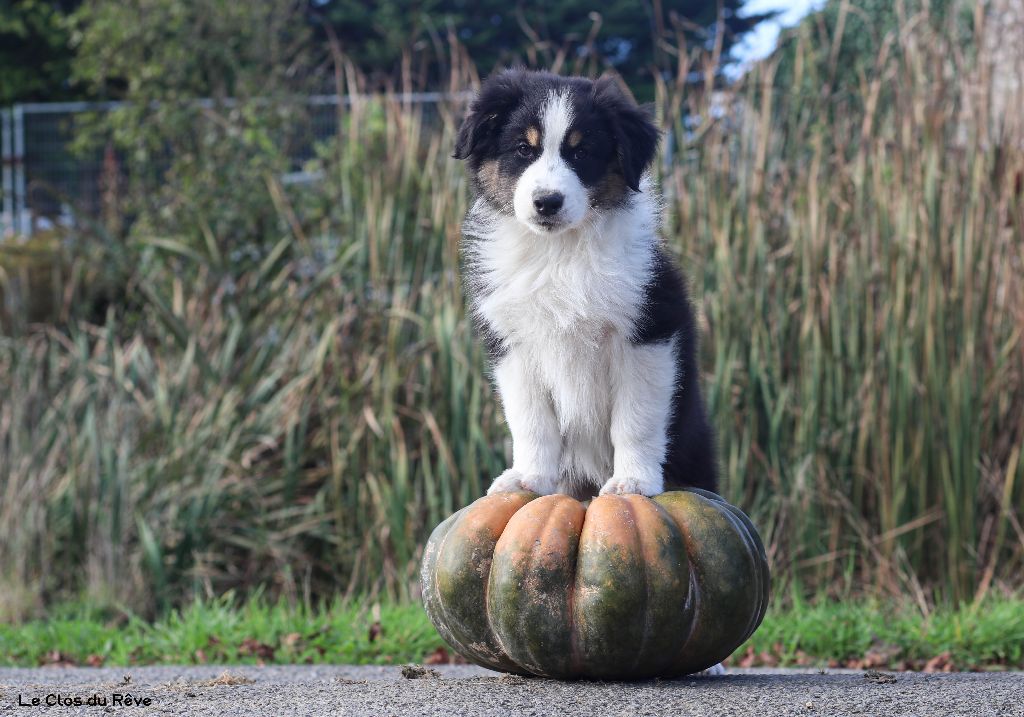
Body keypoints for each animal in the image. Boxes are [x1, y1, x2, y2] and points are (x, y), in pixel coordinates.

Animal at [452, 71, 716, 497]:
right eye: (523, 149)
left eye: (581, 153)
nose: (547, 202)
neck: (559, 252)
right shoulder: (513, 345)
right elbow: (530, 420)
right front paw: (527, 477)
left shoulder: (648, 333)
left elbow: (635, 419)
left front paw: (632, 481)